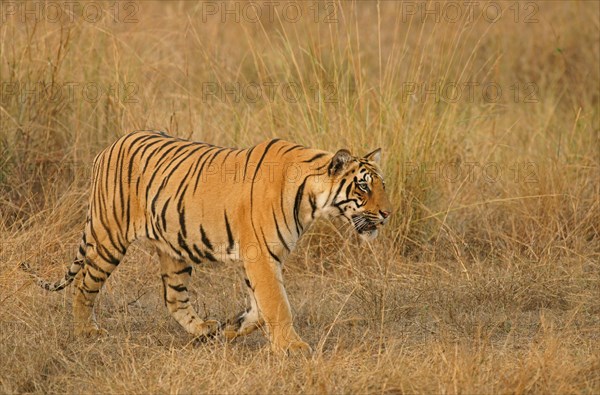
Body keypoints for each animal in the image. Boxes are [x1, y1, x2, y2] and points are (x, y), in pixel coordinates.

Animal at [21, 131, 392, 356]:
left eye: (381, 185)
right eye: (362, 187)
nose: (387, 213)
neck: (311, 199)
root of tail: (109, 147)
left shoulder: (260, 259)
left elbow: (259, 308)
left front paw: (231, 329)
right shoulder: (260, 256)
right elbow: (277, 304)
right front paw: (293, 347)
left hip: (173, 248)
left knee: (173, 297)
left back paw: (202, 329)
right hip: (109, 237)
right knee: (84, 283)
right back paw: (86, 331)